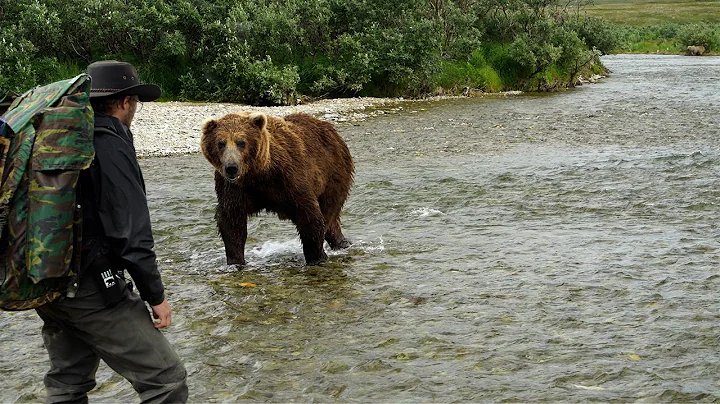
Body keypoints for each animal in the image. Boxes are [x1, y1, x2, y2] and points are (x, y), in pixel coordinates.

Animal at [201, 111, 354, 266]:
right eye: (221, 143)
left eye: (241, 142)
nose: (231, 167)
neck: (258, 174)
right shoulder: (235, 189)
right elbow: (232, 222)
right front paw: (236, 261)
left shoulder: (288, 178)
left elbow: (308, 214)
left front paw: (316, 257)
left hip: (333, 171)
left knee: (329, 209)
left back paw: (342, 242)